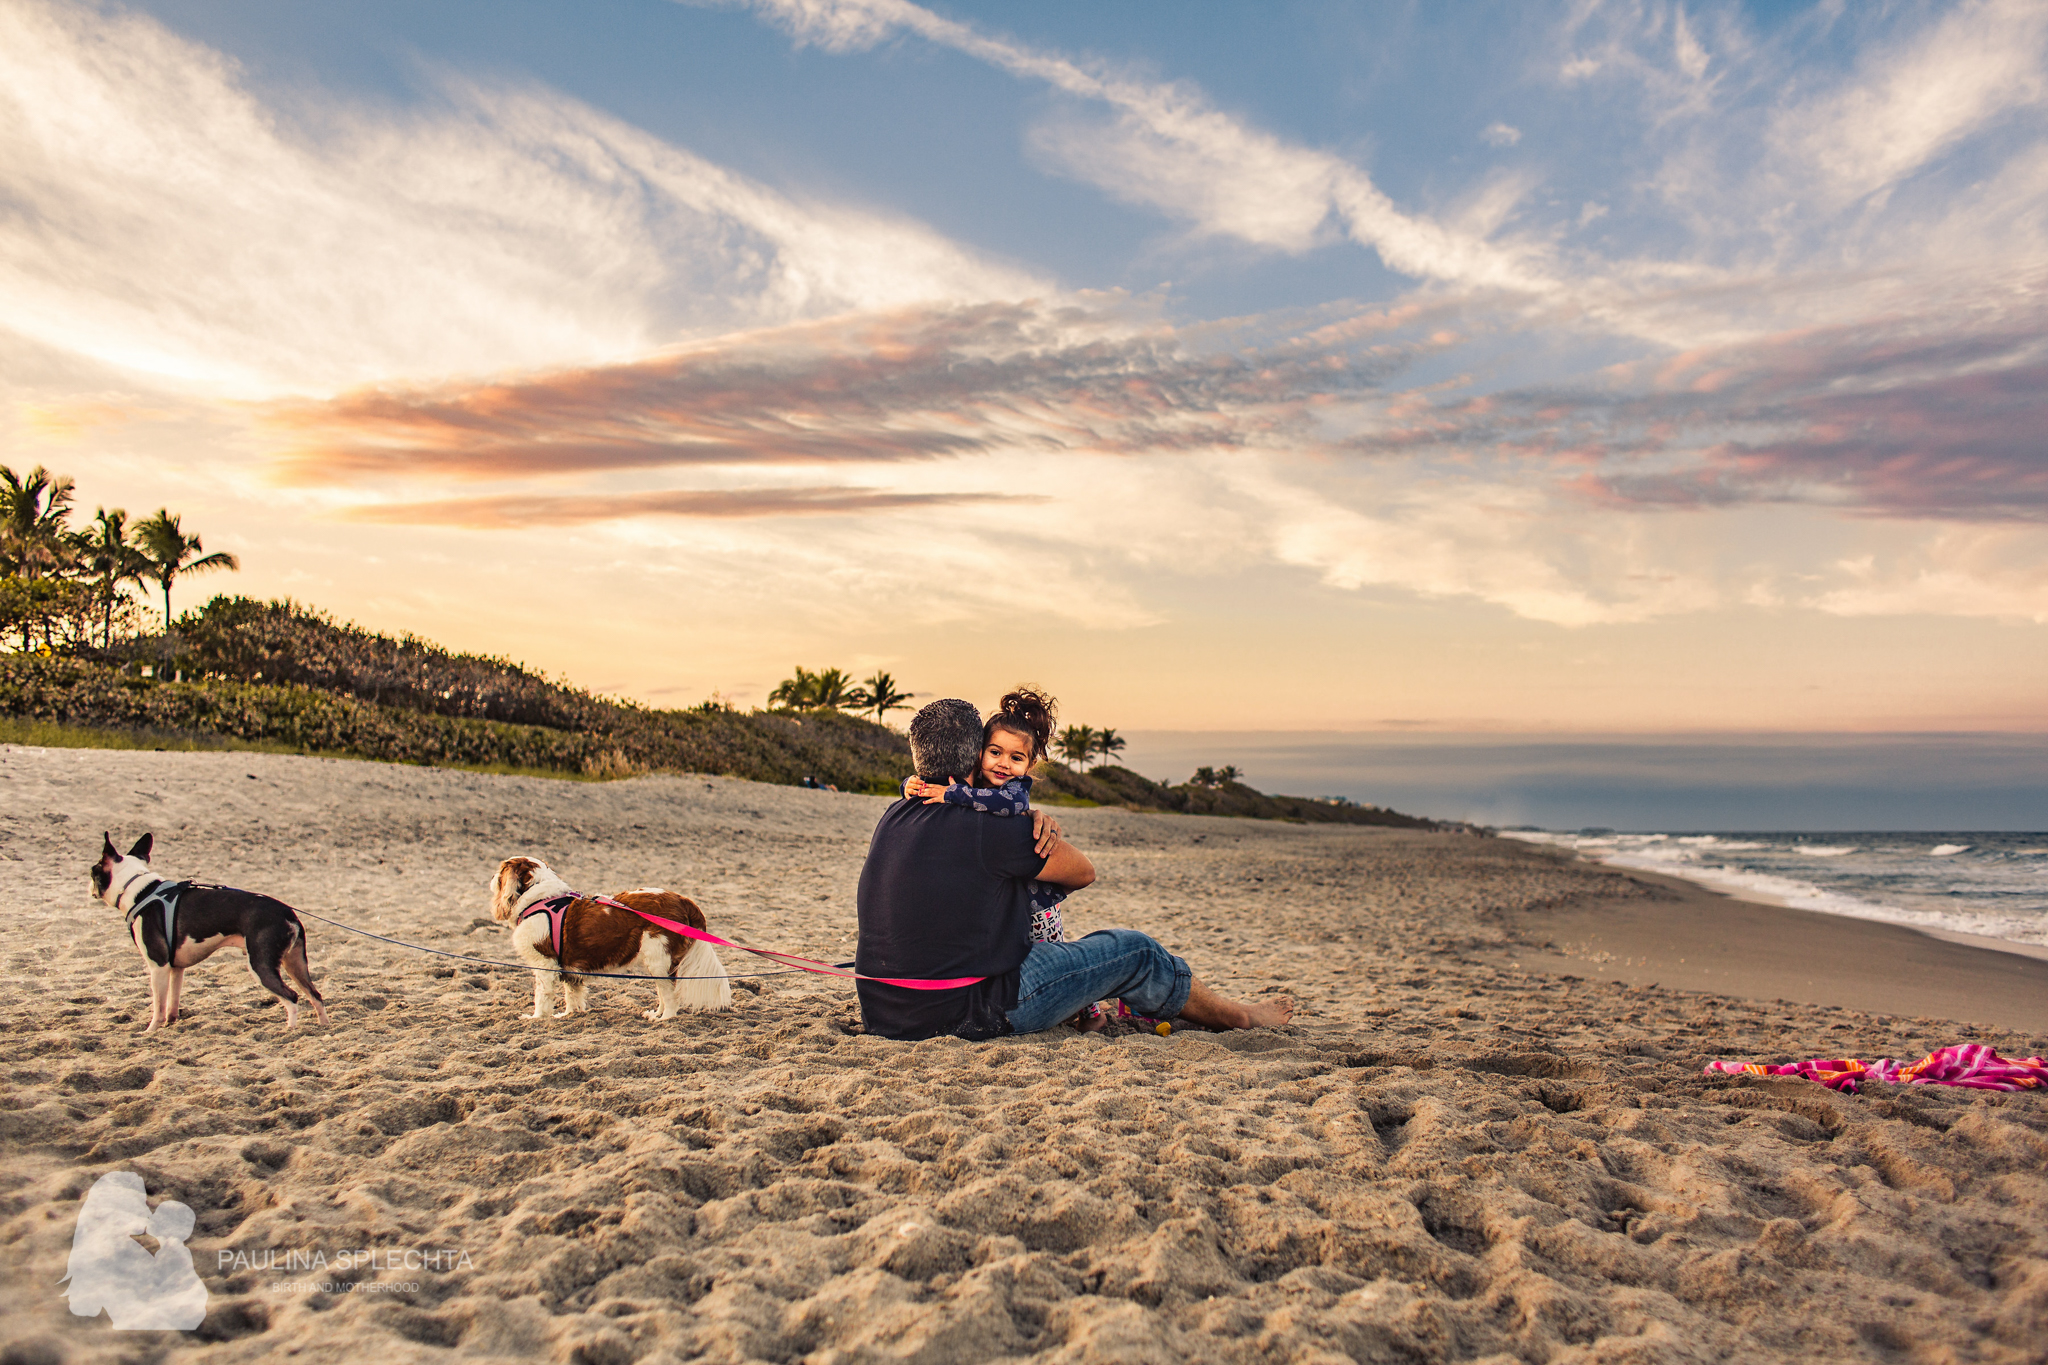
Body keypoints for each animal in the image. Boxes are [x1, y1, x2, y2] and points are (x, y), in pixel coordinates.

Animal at [91, 834, 327, 1035]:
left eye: (92, 872)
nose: (89, 887)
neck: (140, 891)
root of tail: (288, 913)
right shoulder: (176, 968)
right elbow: (172, 1002)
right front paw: (171, 1024)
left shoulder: (158, 966)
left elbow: (158, 1006)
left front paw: (150, 1031)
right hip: (295, 964)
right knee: (315, 995)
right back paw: (324, 1026)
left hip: (261, 966)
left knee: (292, 997)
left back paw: (290, 1030)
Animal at [485, 859, 729, 1019]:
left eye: (500, 871)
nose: (491, 877)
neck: (539, 898)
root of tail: (683, 900)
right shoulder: (569, 965)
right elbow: (572, 993)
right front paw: (569, 1015)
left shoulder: (544, 963)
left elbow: (542, 995)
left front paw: (536, 1019)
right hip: (657, 962)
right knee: (663, 991)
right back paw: (655, 1015)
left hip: (659, 959)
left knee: (670, 995)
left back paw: (665, 1019)